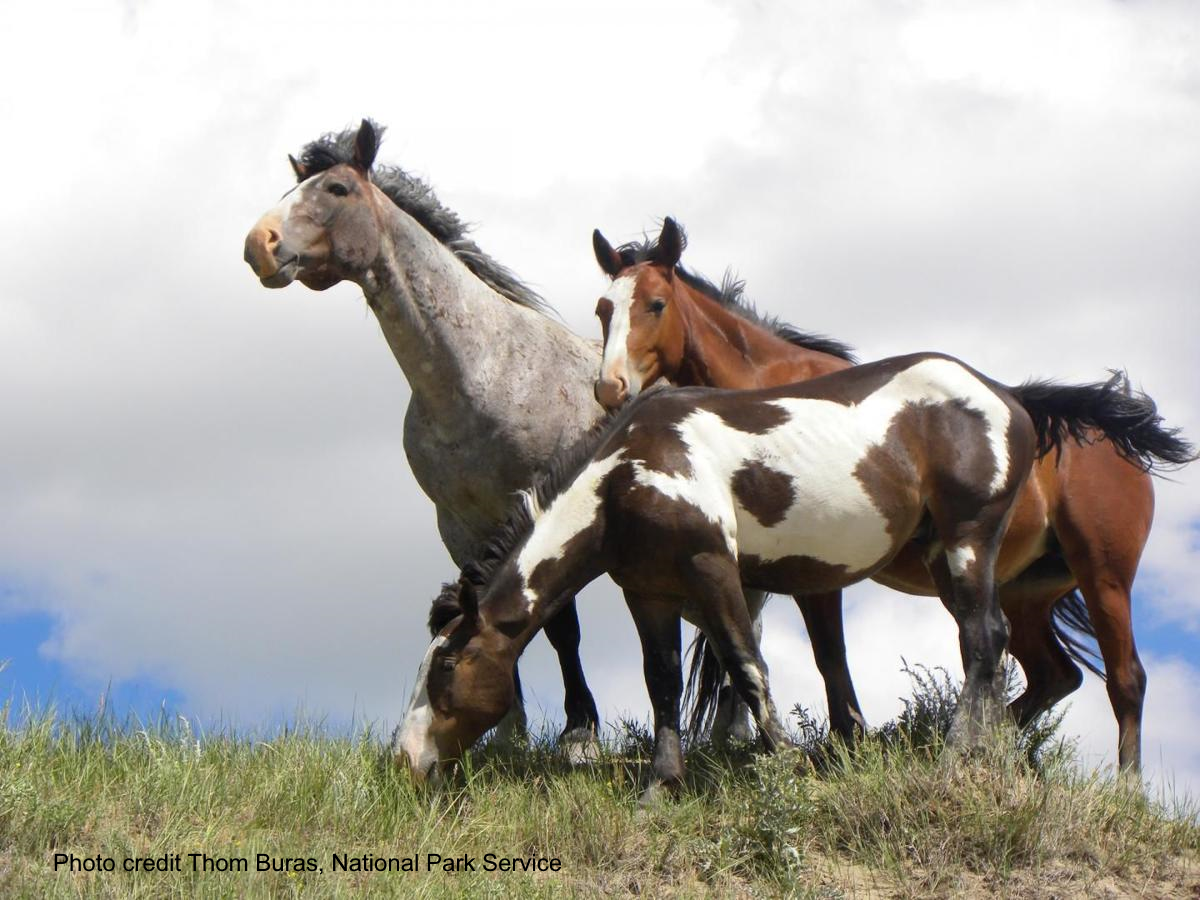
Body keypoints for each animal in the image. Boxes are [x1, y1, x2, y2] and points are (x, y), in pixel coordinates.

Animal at [243, 119, 611, 750]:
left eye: (337, 188)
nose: (257, 244)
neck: (484, 373)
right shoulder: (460, 526)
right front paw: (508, 735)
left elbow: (563, 628)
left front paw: (579, 734)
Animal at [589, 217, 1196, 771]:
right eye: (602, 309)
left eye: (656, 304)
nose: (610, 386)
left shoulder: (813, 568)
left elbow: (824, 654)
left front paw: (842, 745)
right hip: (1021, 591)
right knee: (1051, 674)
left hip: (1103, 578)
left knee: (1125, 679)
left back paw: (1122, 786)